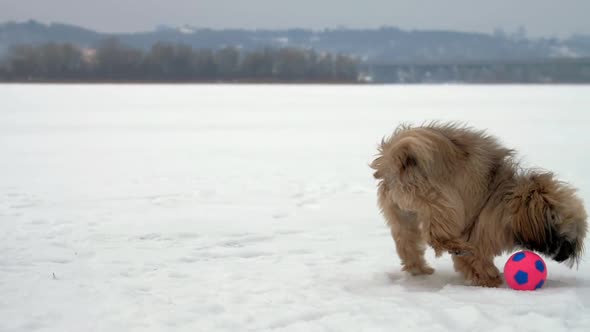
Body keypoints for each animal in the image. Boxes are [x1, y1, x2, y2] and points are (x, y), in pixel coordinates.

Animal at [372, 123, 588, 286]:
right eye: (571, 235)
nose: (566, 256)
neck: (512, 197)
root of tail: (397, 158)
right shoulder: (482, 230)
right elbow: (476, 259)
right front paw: (492, 280)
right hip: (442, 201)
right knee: (437, 236)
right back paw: (455, 246)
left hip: (402, 214)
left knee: (406, 243)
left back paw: (419, 269)